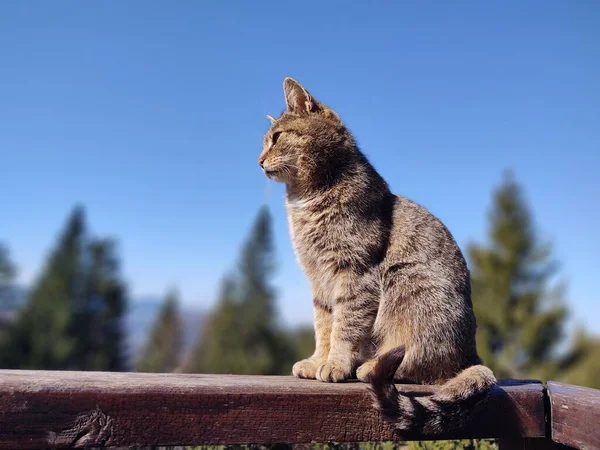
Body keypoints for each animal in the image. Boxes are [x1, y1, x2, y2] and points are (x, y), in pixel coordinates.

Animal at [258, 78, 496, 436]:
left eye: (276, 137)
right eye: (265, 141)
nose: (258, 161)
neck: (304, 200)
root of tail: (472, 355)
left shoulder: (354, 272)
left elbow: (344, 326)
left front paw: (336, 363)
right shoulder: (318, 280)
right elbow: (323, 325)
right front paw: (318, 360)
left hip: (405, 281)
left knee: (420, 365)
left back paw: (369, 366)